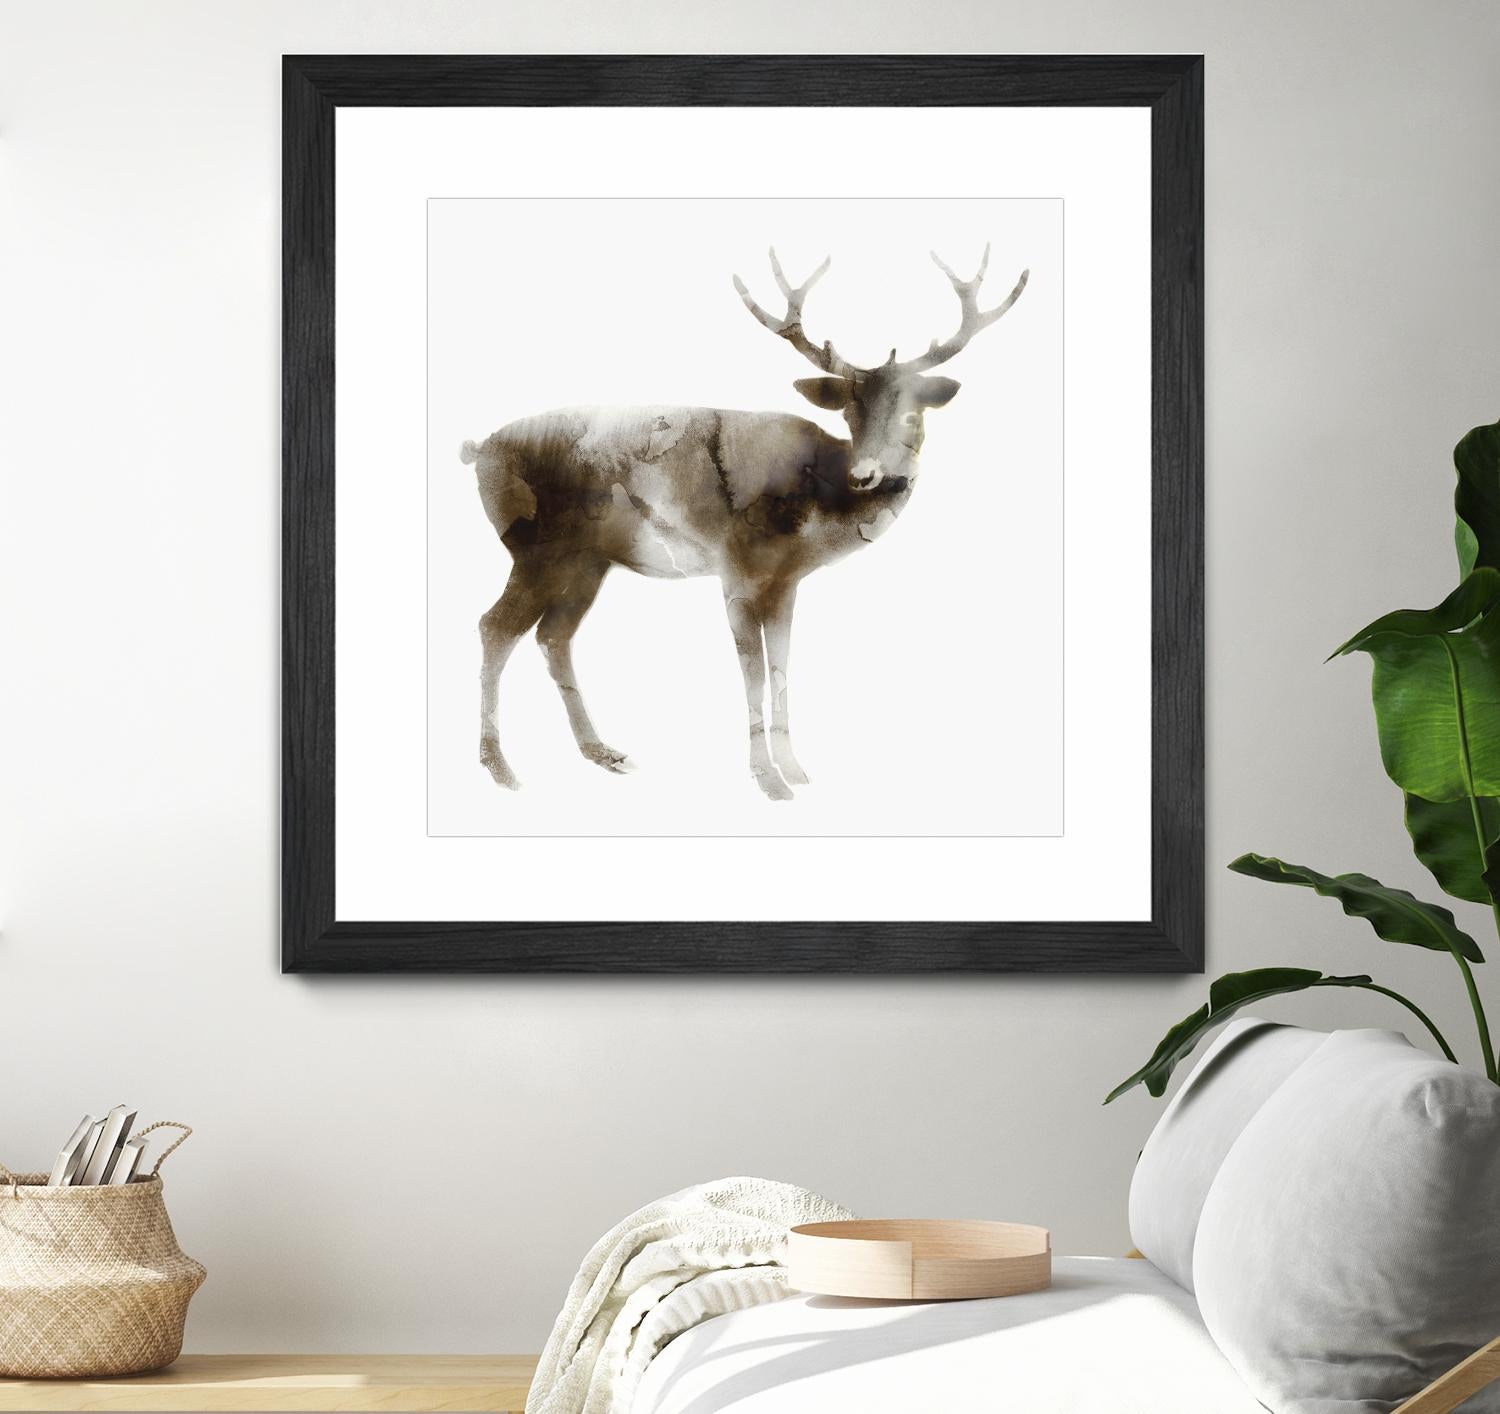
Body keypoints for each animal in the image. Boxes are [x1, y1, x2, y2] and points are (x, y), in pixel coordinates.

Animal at [459, 246, 1028, 800]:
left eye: (913, 413)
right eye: (849, 413)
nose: (867, 475)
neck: (816, 513)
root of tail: (479, 450)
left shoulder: (786, 583)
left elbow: (781, 667)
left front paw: (795, 769)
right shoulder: (736, 571)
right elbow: (752, 673)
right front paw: (768, 779)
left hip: (587, 562)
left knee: (553, 636)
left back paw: (602, 751)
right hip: (535, 549)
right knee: (495, 626)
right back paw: (500, 767)